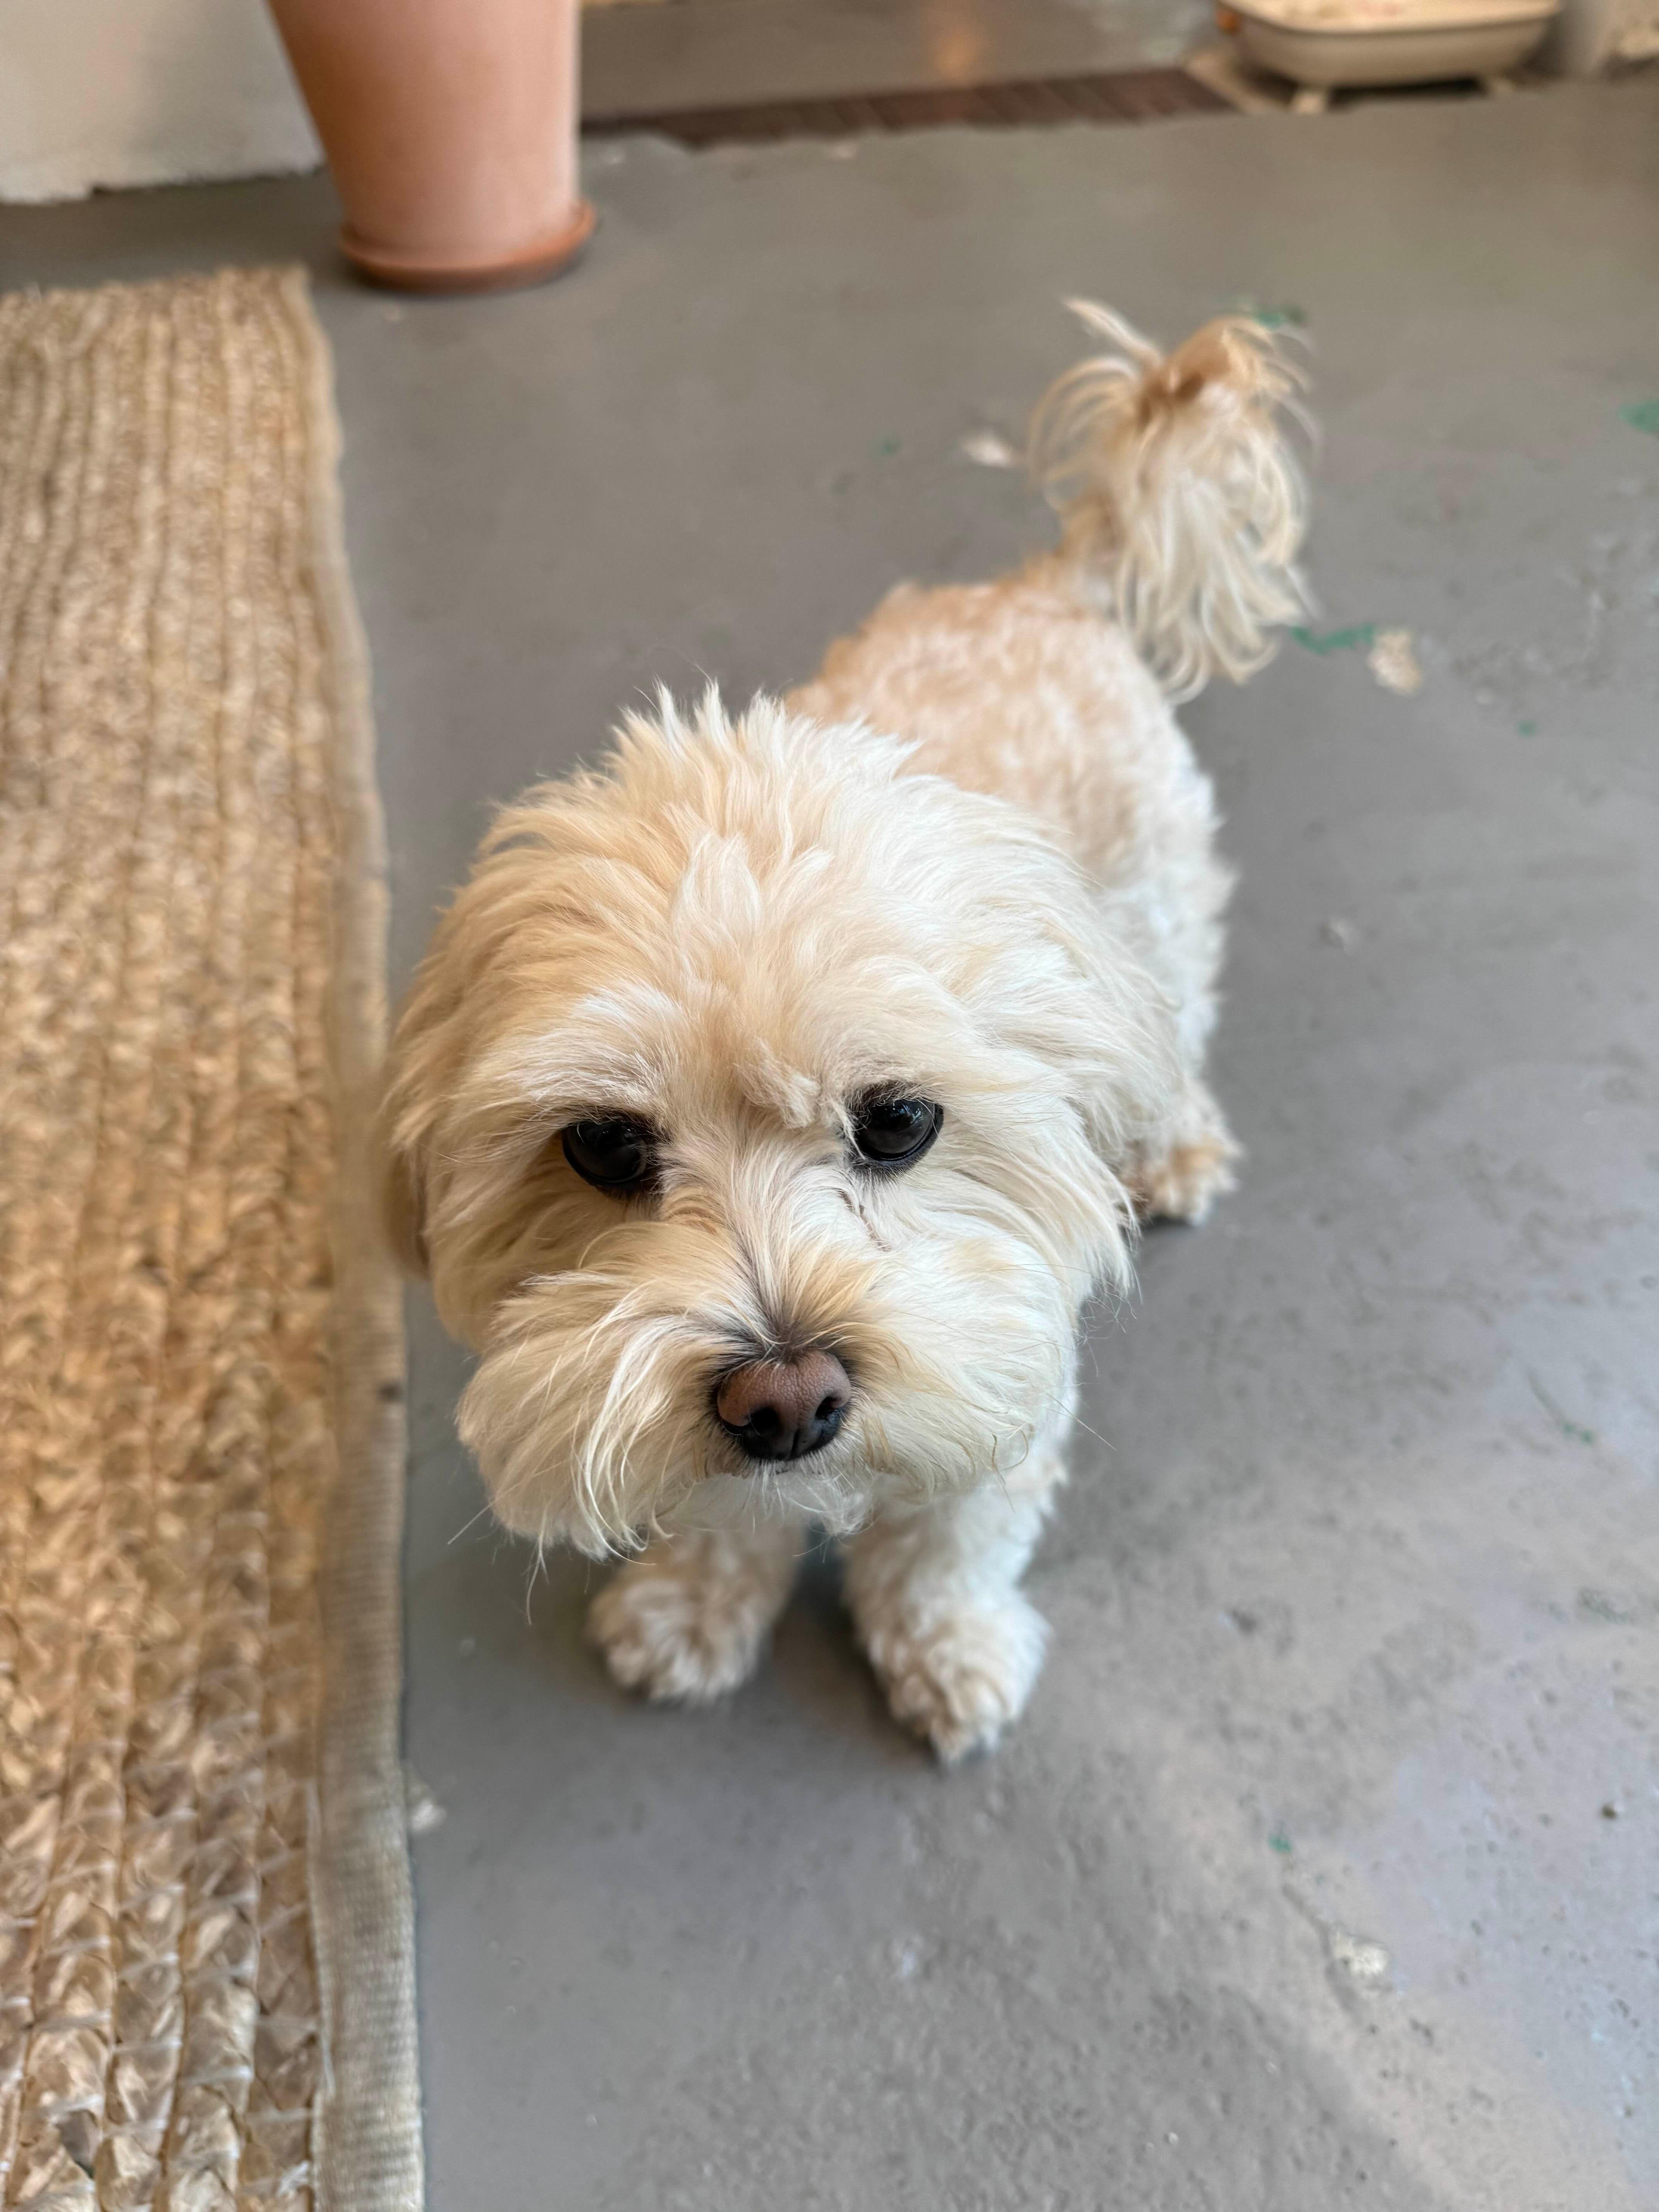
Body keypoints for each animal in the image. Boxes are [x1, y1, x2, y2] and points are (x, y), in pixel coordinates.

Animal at [380, 304, 1308, 1759]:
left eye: (900, 1122)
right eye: (603, 1147)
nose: (785, 1395)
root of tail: (1048, 580)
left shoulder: (1004, 1357)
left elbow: (952, 1535)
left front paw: (946, 1643)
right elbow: (720, 1520)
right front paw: (698, 1602)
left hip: (1154, 916)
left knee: (1169, 1033)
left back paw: (1169, 1144)